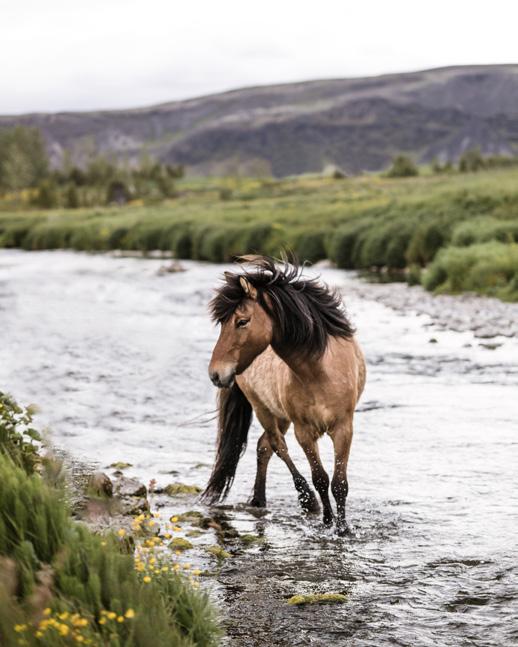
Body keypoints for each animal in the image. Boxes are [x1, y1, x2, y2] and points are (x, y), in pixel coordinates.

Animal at [201, 256, 368, 536]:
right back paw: (306, 501)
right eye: (223, 323)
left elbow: (339, 483)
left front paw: (343, 529)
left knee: (263, 446)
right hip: (264, 409)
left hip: (281, 416)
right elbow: (320, 478)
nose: (215, 374)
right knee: (276, 445)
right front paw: (327, 522)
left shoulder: (344, 427)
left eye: (242, 321)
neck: (319, 372)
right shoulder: (304, 431)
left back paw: (259, 500)